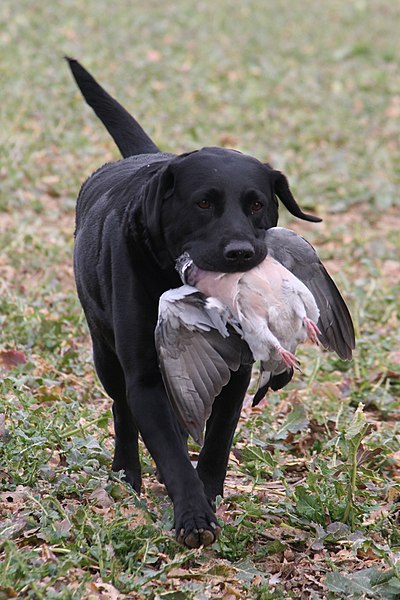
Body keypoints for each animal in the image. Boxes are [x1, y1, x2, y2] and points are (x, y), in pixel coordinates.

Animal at [67, 59, 320, 548]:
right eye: (204, 203)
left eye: (256, 204)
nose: (241, 253)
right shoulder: (144, 377)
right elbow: (168, 448)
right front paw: (192, 514)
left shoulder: (239, 371)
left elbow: (218, 438)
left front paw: (209, 492)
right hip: (104, 352)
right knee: (121, 410)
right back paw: (126, 474)